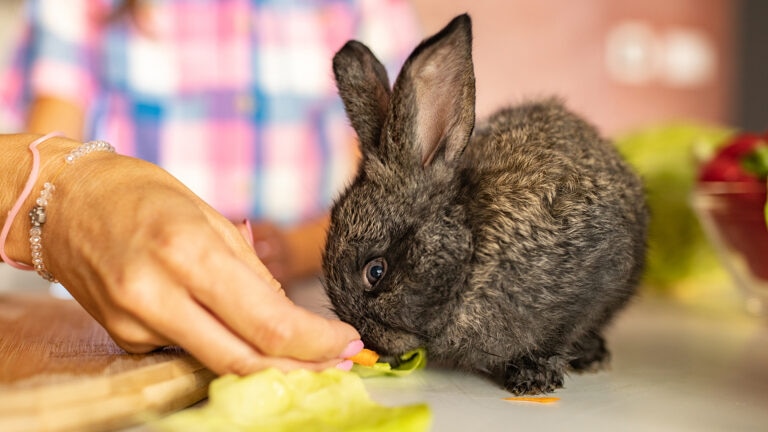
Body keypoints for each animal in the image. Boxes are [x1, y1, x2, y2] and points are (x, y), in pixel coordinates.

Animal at [322, 13, 648, 395]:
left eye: (375, 271)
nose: (370, 342)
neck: (471, 254)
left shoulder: (592, 278)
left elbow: (560, 335)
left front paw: (534, 379)